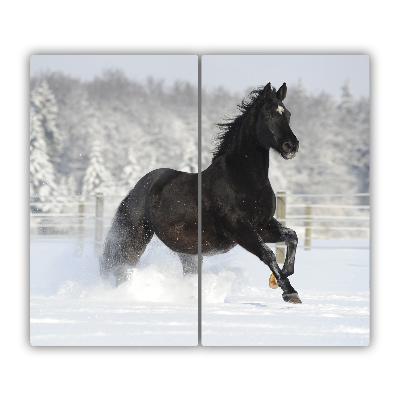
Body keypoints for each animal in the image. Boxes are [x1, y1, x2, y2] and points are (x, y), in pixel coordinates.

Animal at [99, 83, 300, 304]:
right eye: (268, 114)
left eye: (288, 114)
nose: (291, 146)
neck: (241, 178)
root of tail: (138, 188)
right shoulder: (238, 228)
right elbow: (267, 254)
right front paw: (289, 292)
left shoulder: (262, 225)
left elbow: (292, 236)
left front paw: (279, 278)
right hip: (136, 236)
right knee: (123, 268)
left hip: (186, 250)